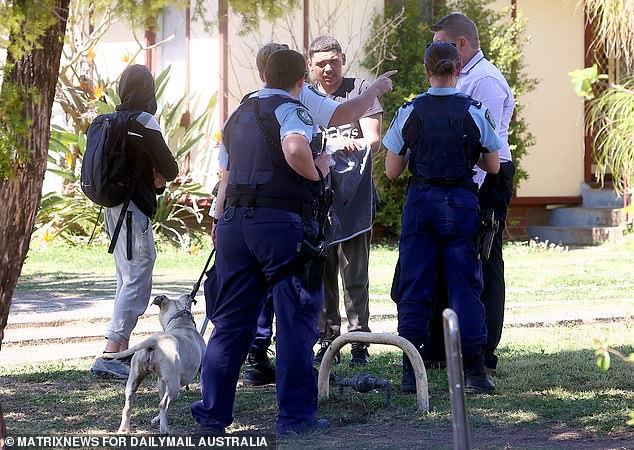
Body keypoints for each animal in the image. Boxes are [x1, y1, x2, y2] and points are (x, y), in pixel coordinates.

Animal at [104, 294, 205, 434]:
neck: (181, 324)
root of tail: (155, 341)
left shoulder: (161, 381)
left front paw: (158, 418)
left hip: (134, 380)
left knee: (128, 405)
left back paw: (124, 429)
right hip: (173, 384)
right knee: (163, 404)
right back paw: (165, 430)